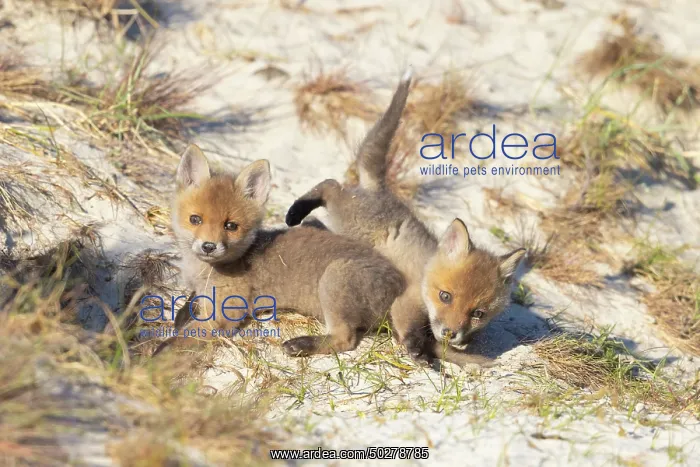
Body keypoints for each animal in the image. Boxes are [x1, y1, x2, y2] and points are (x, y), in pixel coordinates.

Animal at [154, 144, 406, 357]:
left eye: (230, 226)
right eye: (195, 219)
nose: (208, 246)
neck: (202, 271)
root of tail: (401, 285)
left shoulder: (222, 315)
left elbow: (182, 339)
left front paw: (156, 361)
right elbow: (190, 303)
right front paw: (182, 314)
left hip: (335, 277)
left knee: (345, 339)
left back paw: (300, 345)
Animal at [285, 69, 526, 366]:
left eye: (478, 314)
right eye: (445, 296)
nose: (450, 333)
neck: (426, 274)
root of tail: (380, 189)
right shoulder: (405, 301)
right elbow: (408, 328)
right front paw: (417, 349)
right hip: (345, 215)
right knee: (330, 185)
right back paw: (295, 211)